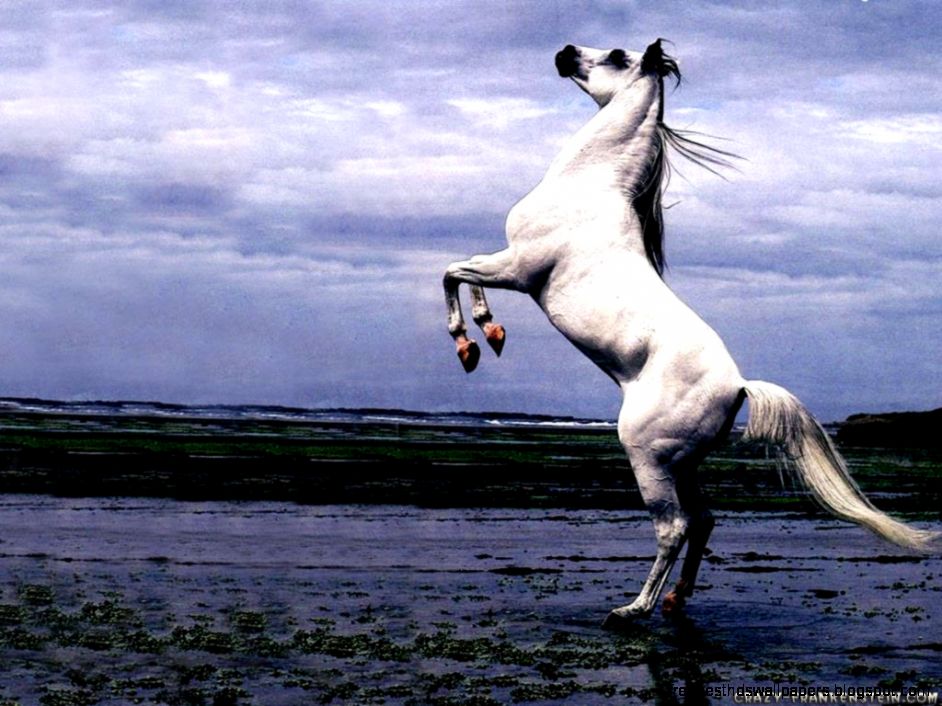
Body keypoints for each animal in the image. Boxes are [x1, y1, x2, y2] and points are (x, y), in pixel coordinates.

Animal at [442, 39, 938, 627]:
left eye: (616, 55)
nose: (565, 52)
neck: (588, 186)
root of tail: (739, 387)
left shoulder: (518, 269)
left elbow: (454, 272)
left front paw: (475, 340)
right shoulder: (509, 266)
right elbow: (460, 272)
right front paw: (486, 337)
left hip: (647, 457)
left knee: (673, 527)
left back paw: (631, 609)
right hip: (684, 464)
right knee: (703, 520)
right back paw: (675, 600)